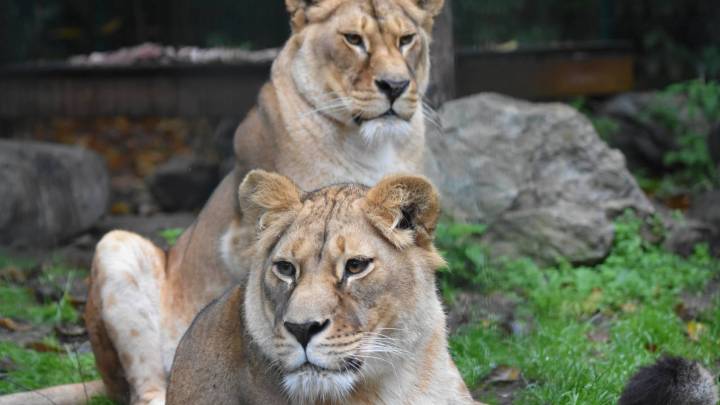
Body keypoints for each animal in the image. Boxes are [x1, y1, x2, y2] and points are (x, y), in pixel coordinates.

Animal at [0, 1, 447, 405]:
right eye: (353, 39)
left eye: (407, 40)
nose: (394, 86)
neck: (375, 147)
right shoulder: (249, 235)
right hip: (118, 248)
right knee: (145, 389)